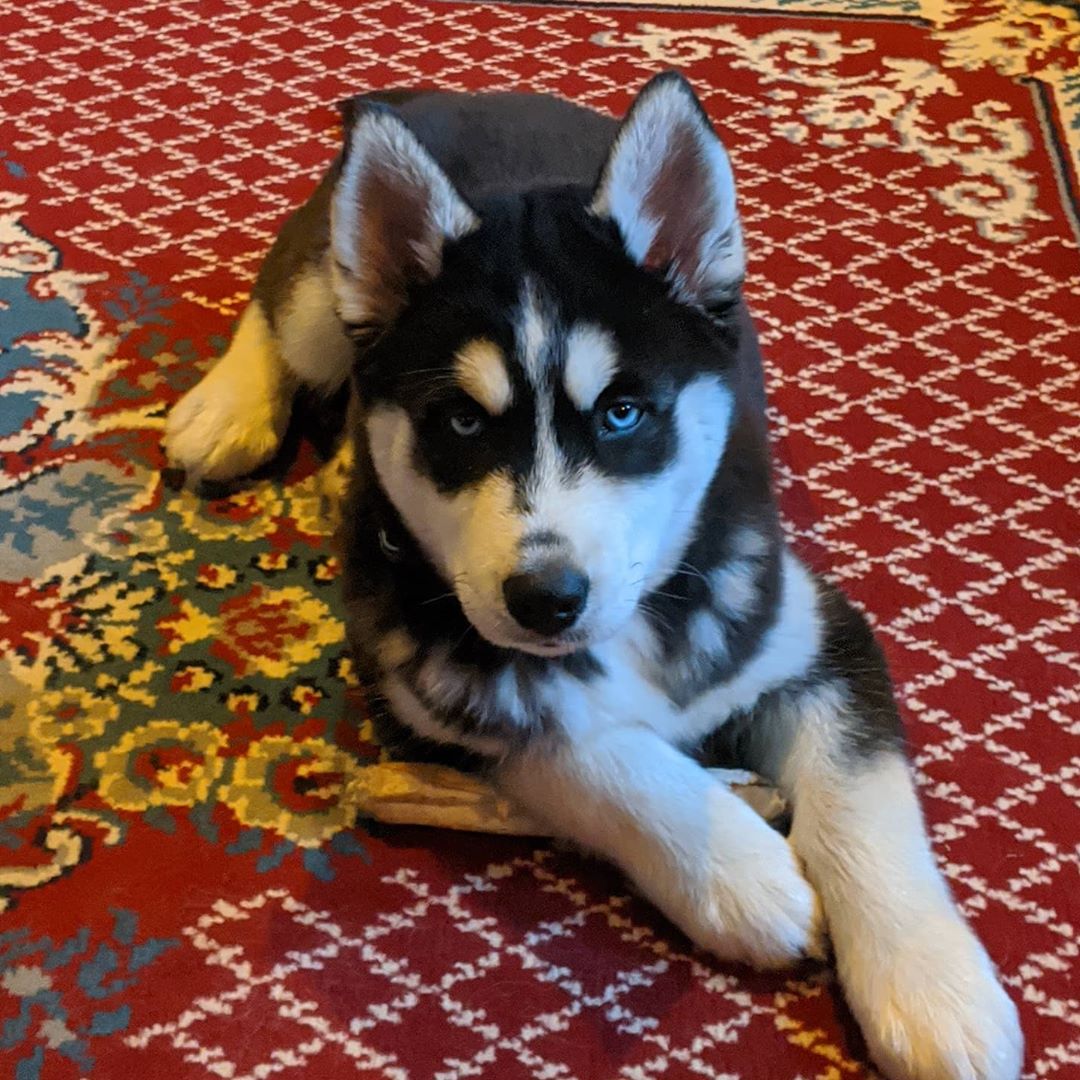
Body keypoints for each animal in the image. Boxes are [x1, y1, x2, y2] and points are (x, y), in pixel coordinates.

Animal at [166, 73, 1019, 1080]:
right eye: (460, 423)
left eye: (622, 413)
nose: (547, 600)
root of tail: (459, 91)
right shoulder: (418, 676)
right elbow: (578, 746)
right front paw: (739, 870)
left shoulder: (808, 628)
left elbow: (865, 794)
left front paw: (934, 989)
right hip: (326, 295)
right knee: (279, 305)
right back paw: (227, 409)